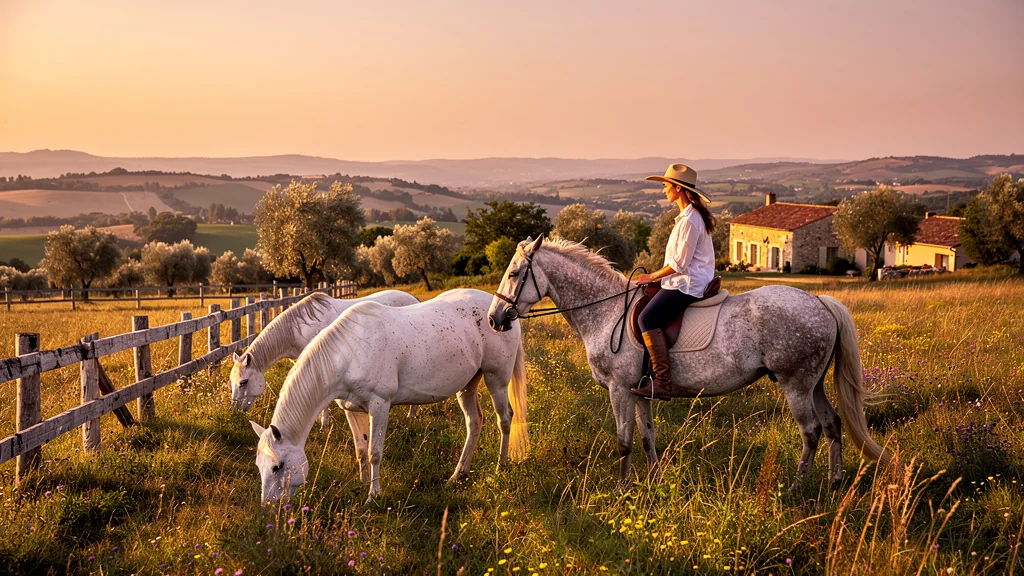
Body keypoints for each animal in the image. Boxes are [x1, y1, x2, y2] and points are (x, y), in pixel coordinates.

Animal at [251, 288, 529, 505]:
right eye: (259, 466)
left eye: (278, 466)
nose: (270, 507)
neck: (349, 353)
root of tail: (501, 313)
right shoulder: (351, 408)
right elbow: (361, 448)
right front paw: (364, 484)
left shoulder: (379, 405)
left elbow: (374, 452)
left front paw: (373, 496)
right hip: (468, 385)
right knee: (474, 422)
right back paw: (457, 475)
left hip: (496, 379)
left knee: (505, 419)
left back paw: (500, 467)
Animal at [487, 236, 892, 490]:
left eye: (513, 274)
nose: (495, 319)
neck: (605, 312)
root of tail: (821, 302)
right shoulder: (641, 393)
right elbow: (647, 437)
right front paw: (654, 481)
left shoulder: (620, 390)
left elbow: (624, 441)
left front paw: (622, 489)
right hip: (814, 383)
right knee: (833, 425)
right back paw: (834, 481)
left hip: (796, 384)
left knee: (810, 431)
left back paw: (797, 486)